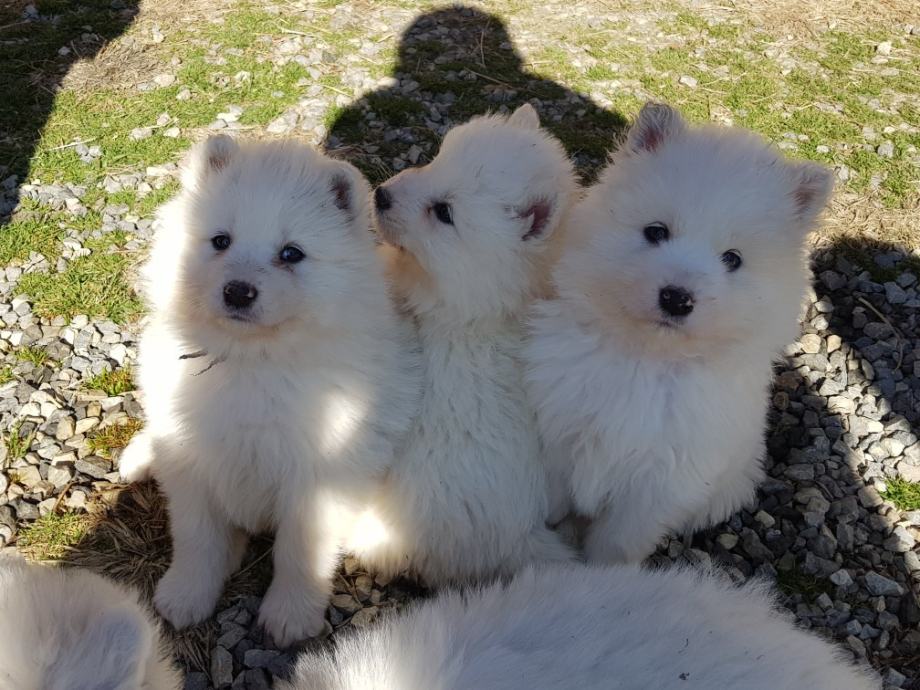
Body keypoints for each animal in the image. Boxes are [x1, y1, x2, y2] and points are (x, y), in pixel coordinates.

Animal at [118, 136, 420, 645]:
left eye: (291, 253)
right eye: (221, 241)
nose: (238, 292)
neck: (251, 362)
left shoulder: (319, 476)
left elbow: (300, 550)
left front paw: (290, 615)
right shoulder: (190, 460)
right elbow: (197, 537)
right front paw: (186, 594)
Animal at [525, 102, 834, 564]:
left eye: (732, 259)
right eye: (656, 231)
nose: (677, 298)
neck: (646, 359)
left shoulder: (660, 484)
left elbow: (616, 543)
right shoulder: (560, 438)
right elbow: (556, 505)